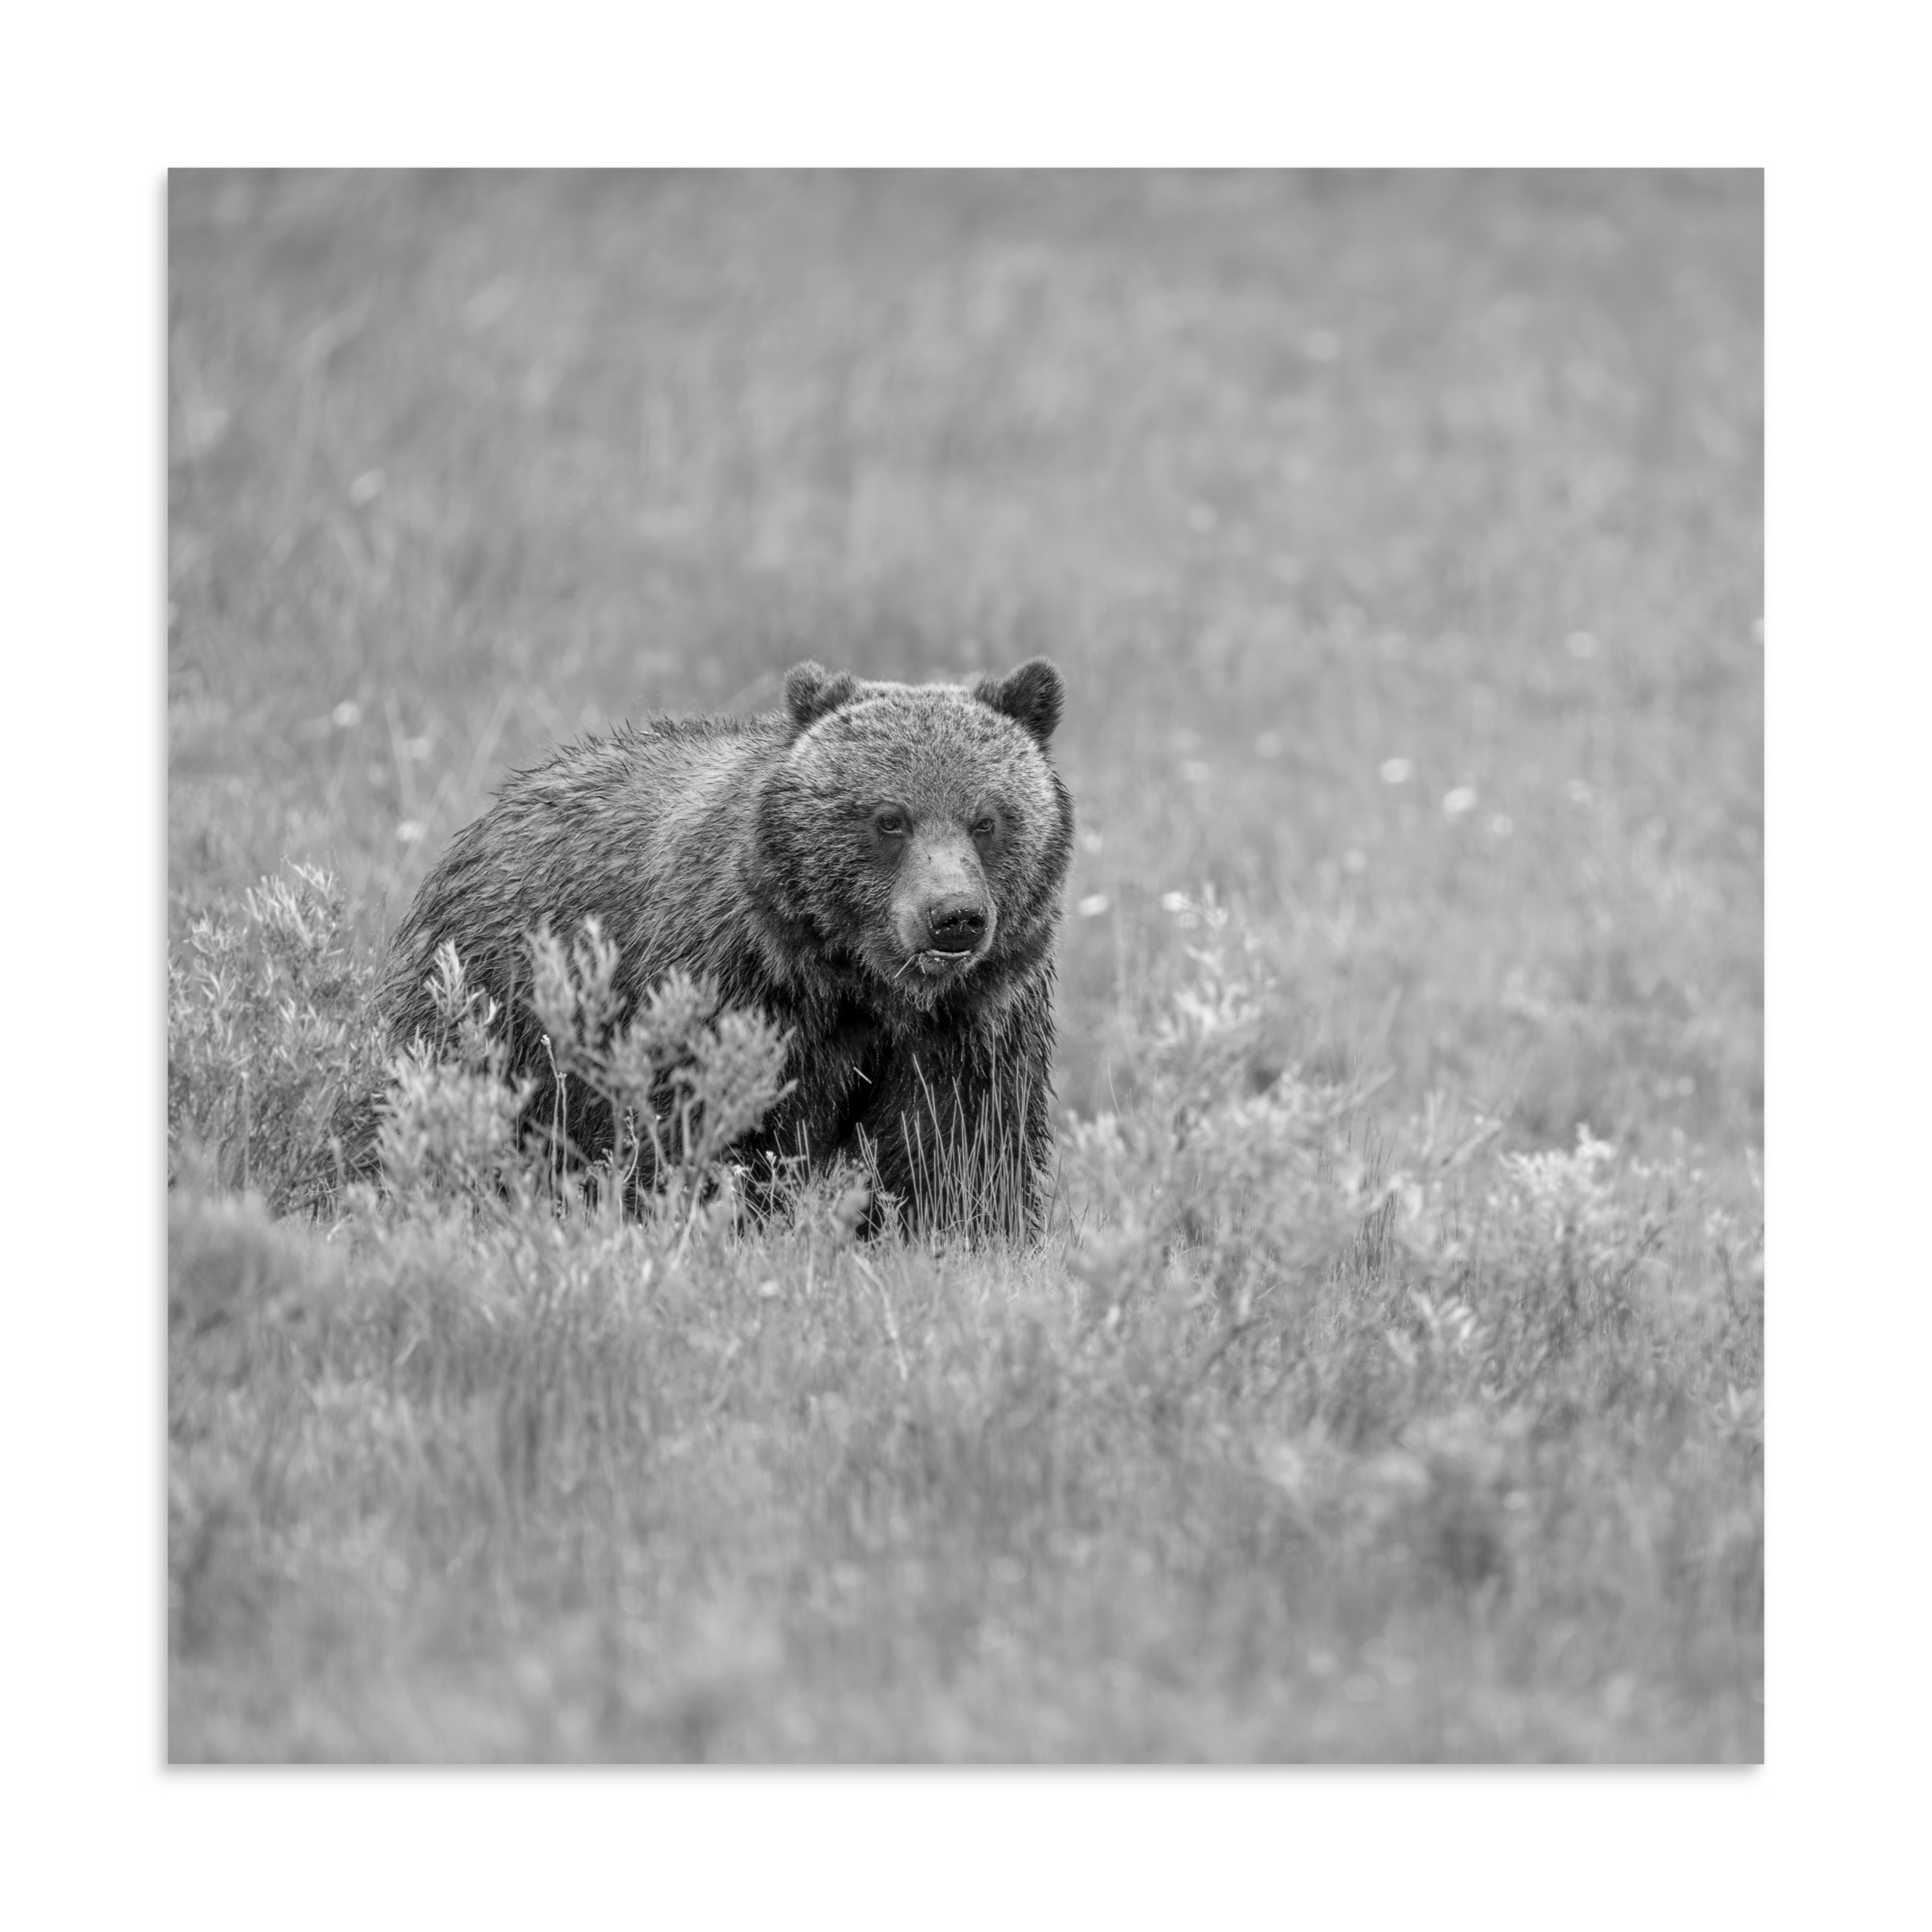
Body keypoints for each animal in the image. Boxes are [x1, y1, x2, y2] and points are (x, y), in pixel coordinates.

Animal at [375, 658, 1075, 1239]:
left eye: (986, 819)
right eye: (889, 819)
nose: (953, 918)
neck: (860, 983)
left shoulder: (974, 1020)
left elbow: (960, 1150)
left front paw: (962, 1236)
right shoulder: (733, 986)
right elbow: (708, 1127)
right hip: (493, 1001)